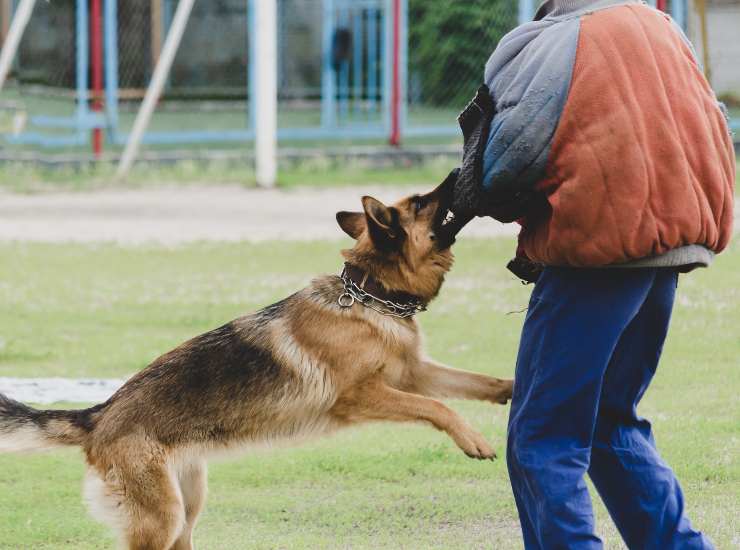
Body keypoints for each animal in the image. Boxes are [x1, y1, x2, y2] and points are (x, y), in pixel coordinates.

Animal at [0, 175, 508, 548]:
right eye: (422, 202)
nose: (457, 172)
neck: (369, 295)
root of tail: (99, 414)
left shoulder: (415, 373)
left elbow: (474, 382)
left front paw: (510, 390)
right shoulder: (362, 396)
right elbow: (437, 407)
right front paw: (475, 440)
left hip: (186, 508)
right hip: (161, 519)